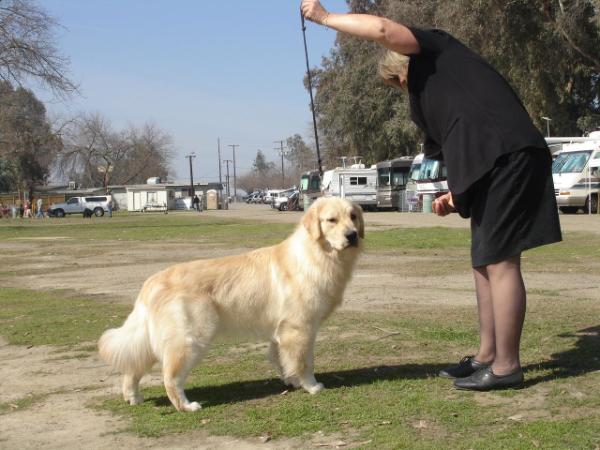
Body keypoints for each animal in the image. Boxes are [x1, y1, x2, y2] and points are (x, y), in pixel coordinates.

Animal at [98, 199, 364, 414]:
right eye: (331, 220)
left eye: (353, 216)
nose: (352, 235)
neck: (317, 254)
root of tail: (151, 282)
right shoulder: (301, 328)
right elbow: (304, 362)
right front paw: (312, 386)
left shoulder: (281, 331)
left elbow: (281, 359)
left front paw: (292, 382)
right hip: (191, 339)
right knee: (170, 378)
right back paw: (187, 406)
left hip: (151, 341)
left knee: (132, 369)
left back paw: (133, 398)